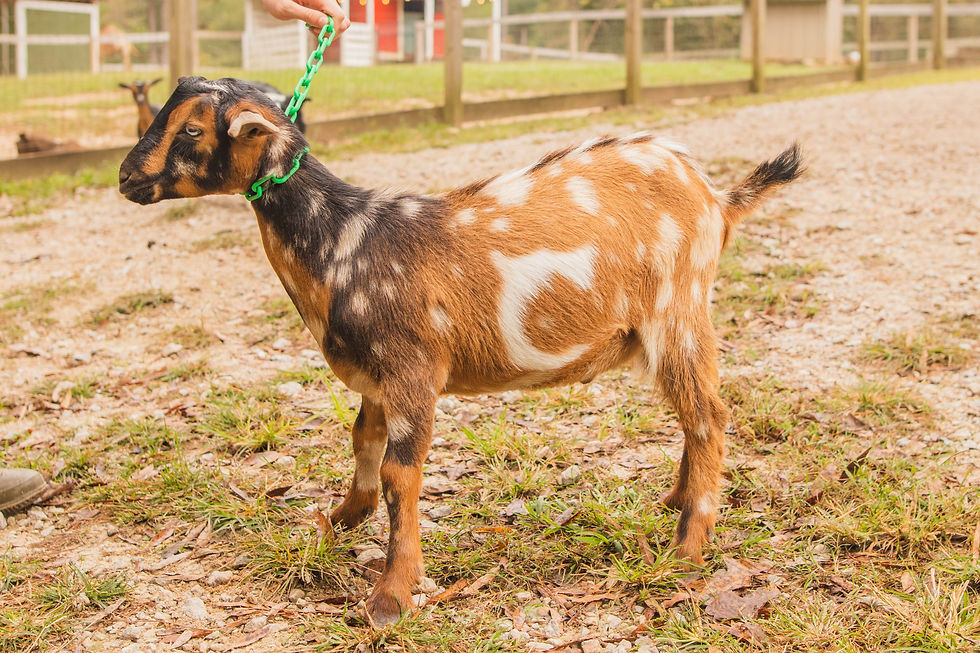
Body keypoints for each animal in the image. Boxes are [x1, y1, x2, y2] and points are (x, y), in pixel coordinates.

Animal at [118, 76, 803, 626]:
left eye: (192, 129)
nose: (125, 177)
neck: (344, 240)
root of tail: (717, 200)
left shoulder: (414, 370)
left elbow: (400, 475)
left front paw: (391, 597)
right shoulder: (378, 377)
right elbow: (364, 447)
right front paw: (339, 520)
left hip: (676, 312)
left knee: (709, 416)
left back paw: (688, 549)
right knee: (694, 416)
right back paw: (675, 503)